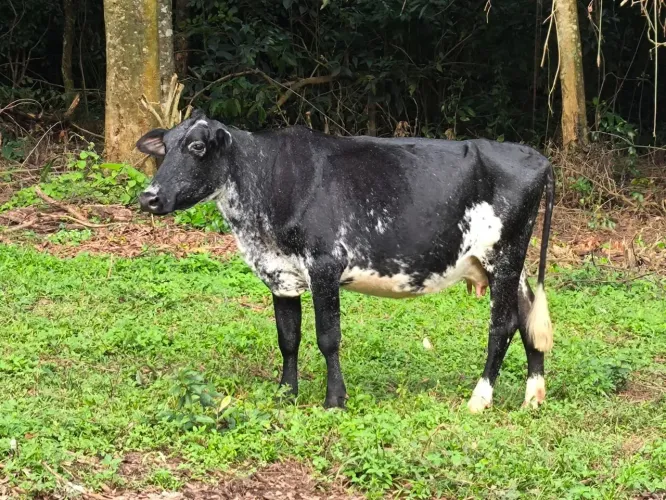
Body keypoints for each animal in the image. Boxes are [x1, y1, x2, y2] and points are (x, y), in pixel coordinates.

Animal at [136, 110, 554, 413]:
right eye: (166, 146)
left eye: (197, 147)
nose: (149, 197)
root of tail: (535, 156)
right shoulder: (280, 273)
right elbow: (288, 338)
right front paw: (285, 394)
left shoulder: (324, 264)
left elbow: (328, 337)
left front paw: (334, 400)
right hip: (508, 265)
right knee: (526, 319)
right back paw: (532, 398)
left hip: (504, 256)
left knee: (501, 325)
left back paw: (479, 399)